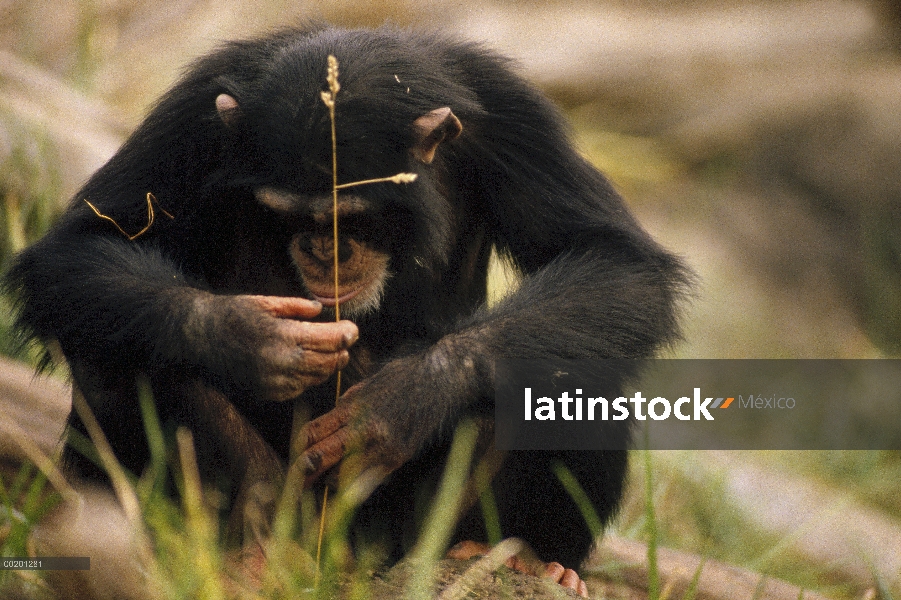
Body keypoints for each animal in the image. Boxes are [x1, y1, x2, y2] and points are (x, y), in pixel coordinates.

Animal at [3, 24, 684, 596]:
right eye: (288, 213)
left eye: (353, 216)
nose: (324, 248)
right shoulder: (190, 115)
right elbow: (83, 245)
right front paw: (245, 337)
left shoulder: (517, 118)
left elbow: (614, 258)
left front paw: (410, 395)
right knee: (108, 352)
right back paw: (240, 549)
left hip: (403, 542)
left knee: (576, 371)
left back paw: (527, 559)